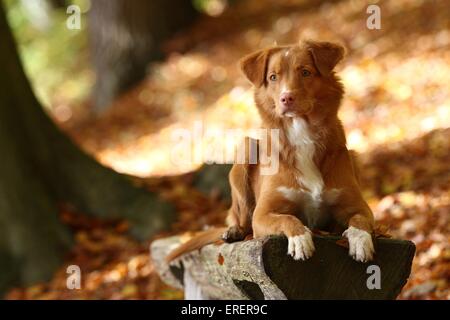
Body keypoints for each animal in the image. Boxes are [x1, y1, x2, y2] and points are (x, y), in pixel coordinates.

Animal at [167, 40, 374, 264]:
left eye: (305, 72)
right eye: (273, 77)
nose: (286, 98)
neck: (301, 133)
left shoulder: (358, 206)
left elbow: (360, 220)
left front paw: (361, 241)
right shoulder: (263, 214)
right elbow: (287, 218)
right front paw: (300, 238)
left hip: (354, 155)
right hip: (246, 150)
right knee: (242, 220)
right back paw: (233, 231)